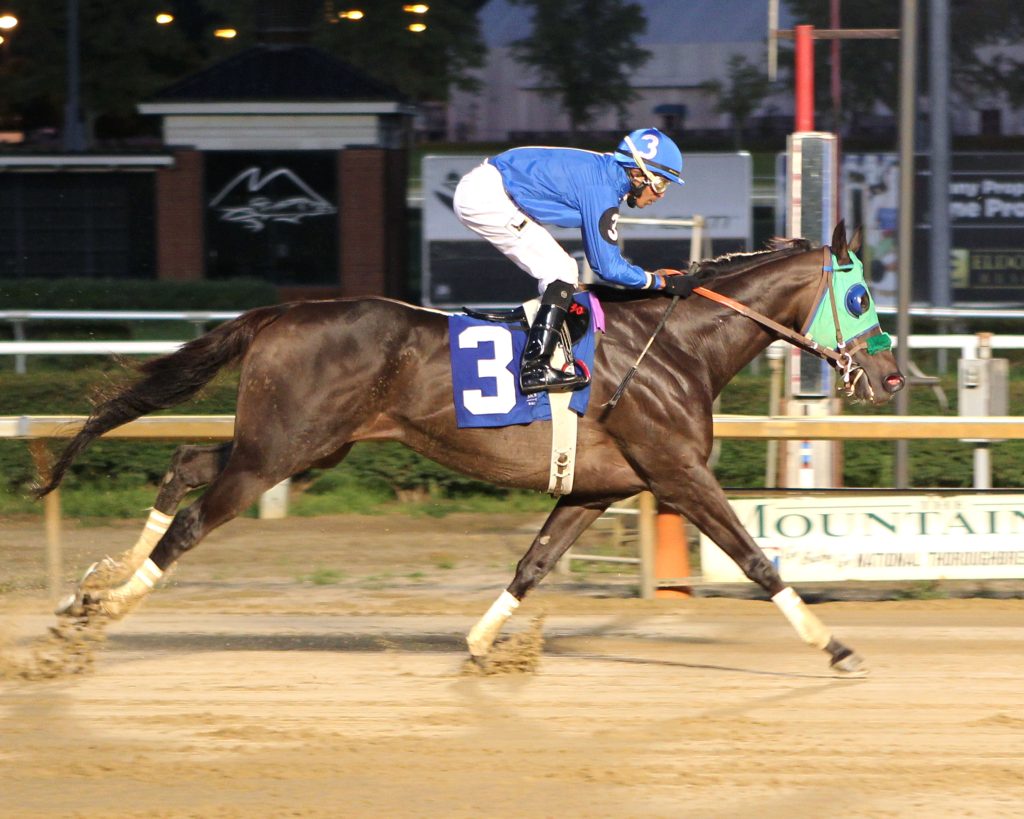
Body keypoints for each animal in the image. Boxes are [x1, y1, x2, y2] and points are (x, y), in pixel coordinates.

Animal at [39, 222, 905, 671]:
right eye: (862, 295)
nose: (893, 374)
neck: (678, 345)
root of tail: (277, 314)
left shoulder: (596, 488)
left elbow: (533, 563)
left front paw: (484, 642)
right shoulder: (676, 469)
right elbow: (756, 557)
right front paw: (834, 645)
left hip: (302, 445)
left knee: (185, 463)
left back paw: (91, 585)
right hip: (279, 450)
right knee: (193, 519)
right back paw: (105, 607)